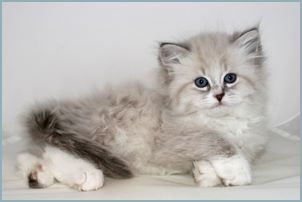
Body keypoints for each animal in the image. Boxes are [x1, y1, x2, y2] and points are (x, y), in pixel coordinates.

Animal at [17, 26, 266, 192]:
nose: (219, 95)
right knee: (53, 150)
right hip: (105, 135)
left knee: (33, 152)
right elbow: (218, 142)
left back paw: (38, 175)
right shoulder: (174, 137)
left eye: (230, 78)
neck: (224, 121)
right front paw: (237, 171)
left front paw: (204, 173)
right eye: (201, 82)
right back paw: (87, 175)